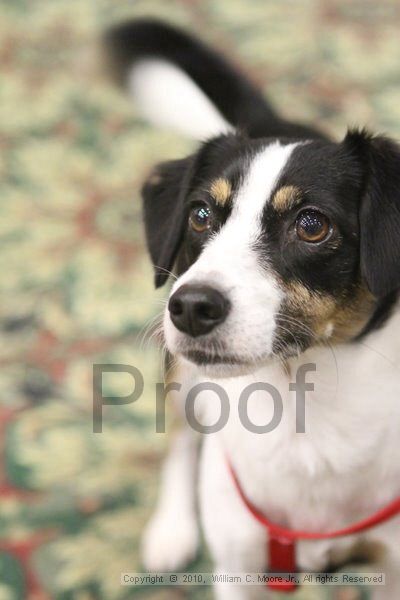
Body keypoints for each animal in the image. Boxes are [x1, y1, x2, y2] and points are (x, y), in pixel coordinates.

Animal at [104, 19, 400, 600]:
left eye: (312, 224)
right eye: (199, 214)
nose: (191, 307)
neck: (304, 410)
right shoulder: (239, 567)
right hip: (182, 376)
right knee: (180, 436)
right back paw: (171, 529)